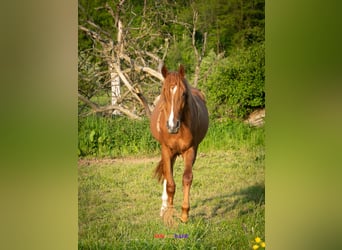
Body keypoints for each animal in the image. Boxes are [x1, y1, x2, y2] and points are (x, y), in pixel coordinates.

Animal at [151, 64, 210, 223]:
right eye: (164, 92)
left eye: (183, 94)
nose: (172, 126)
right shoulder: (166, 150)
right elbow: (170, 184)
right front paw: (169, 213)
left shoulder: (190, 150)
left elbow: (187, 178)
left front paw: (184, 214)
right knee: (167, 175)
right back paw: (164, 207)